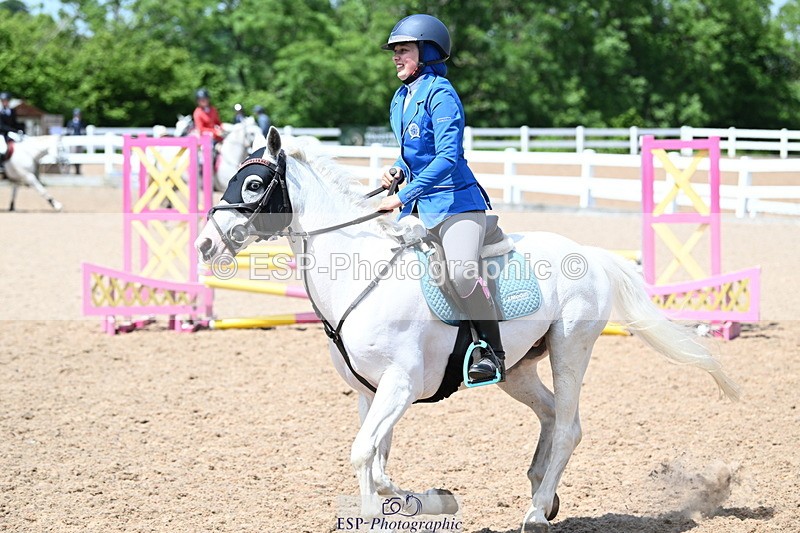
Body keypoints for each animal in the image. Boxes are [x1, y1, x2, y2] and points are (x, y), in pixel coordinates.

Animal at [194, 127, 740, 532]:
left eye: (252, 185)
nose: (204, 245)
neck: (360, 276)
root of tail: (591, 254)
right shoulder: (369, 392)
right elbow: (376, 461)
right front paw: (414, 498)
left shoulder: (401, 385)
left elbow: (364, 452)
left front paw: (386, 509)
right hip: (517, 369)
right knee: (548, 416)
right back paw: (544, 491)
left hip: (571, 348)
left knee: (568, 427)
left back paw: (536, 513)